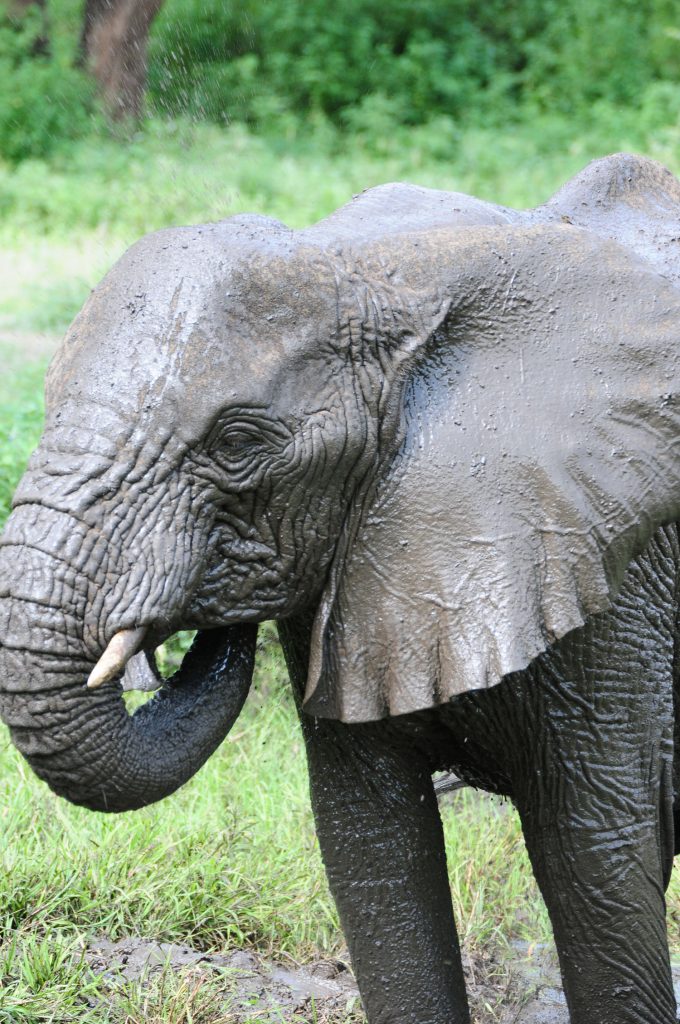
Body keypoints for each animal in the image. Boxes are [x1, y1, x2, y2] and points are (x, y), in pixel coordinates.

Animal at [2, 151, 680, 1024]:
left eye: (237, 442)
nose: (181, 625)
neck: (387, 270)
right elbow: (371, 848)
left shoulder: (610, 572)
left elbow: (594, 863)